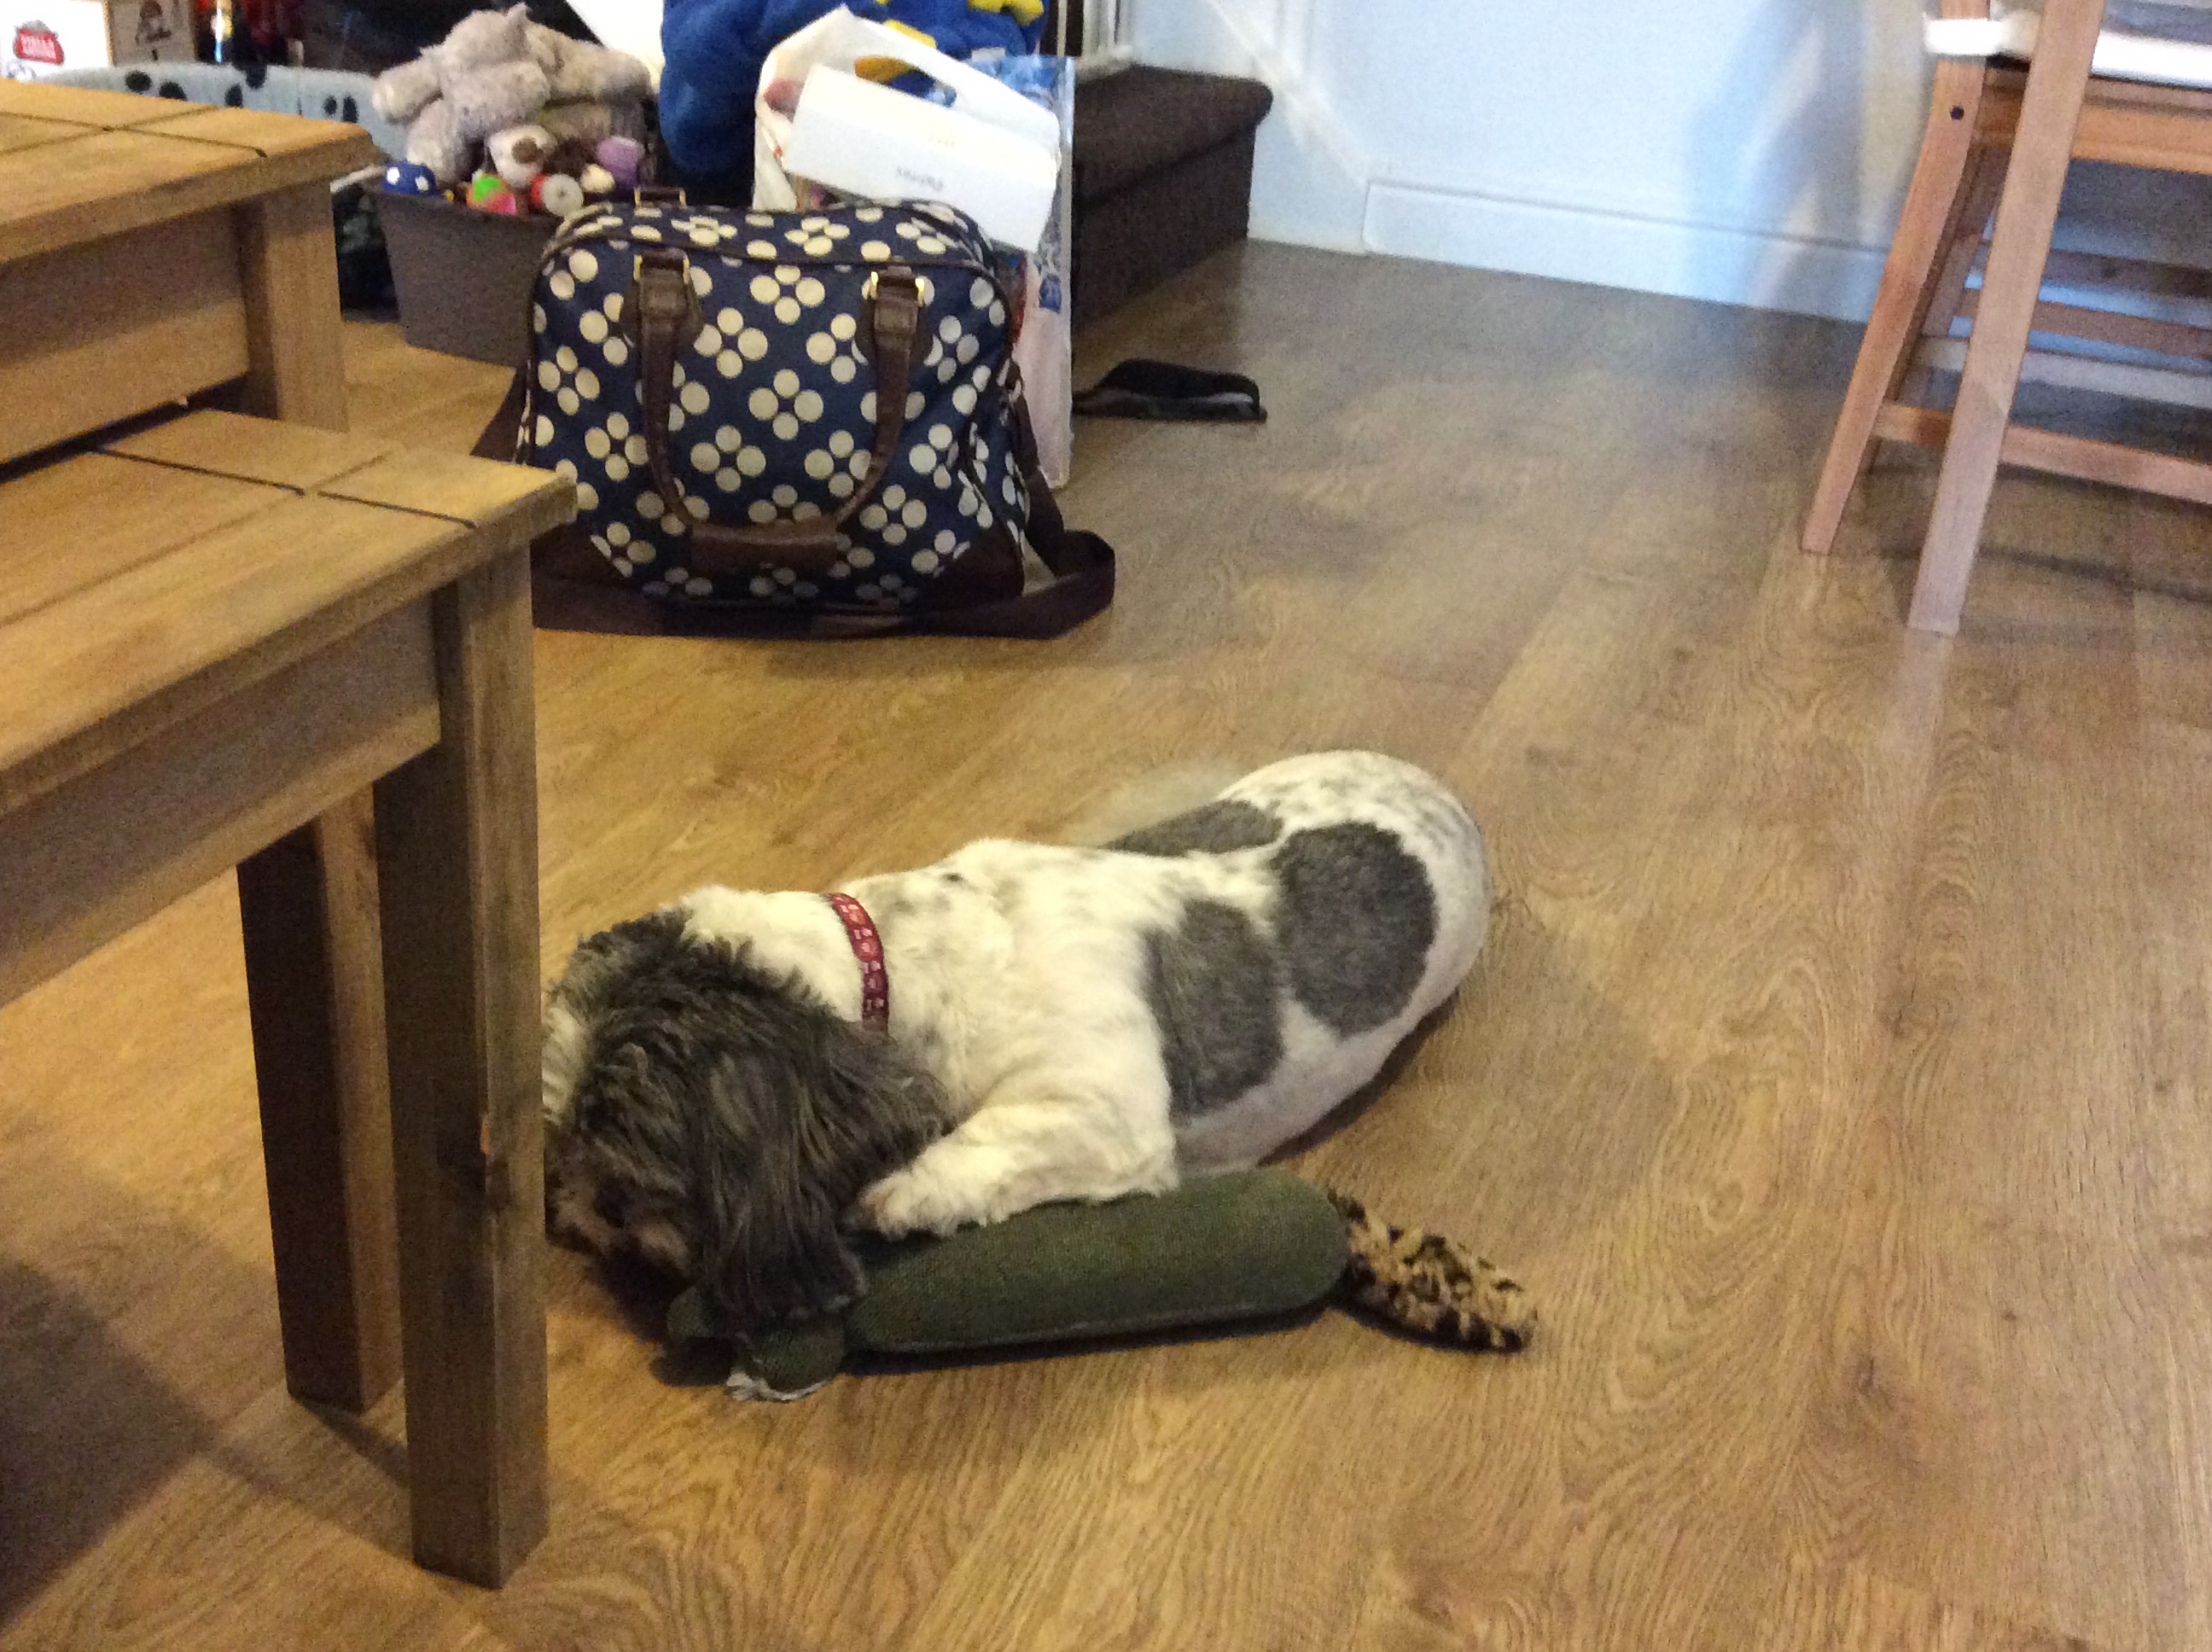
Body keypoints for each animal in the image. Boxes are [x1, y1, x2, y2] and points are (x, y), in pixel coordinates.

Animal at [542, 750, 1491, 1333]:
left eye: (632, 1155)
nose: (586, 1208)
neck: (901, 957)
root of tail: (1449, 803)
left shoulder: (1105, 1113)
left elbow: (975, 1150)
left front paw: (899, 1190)